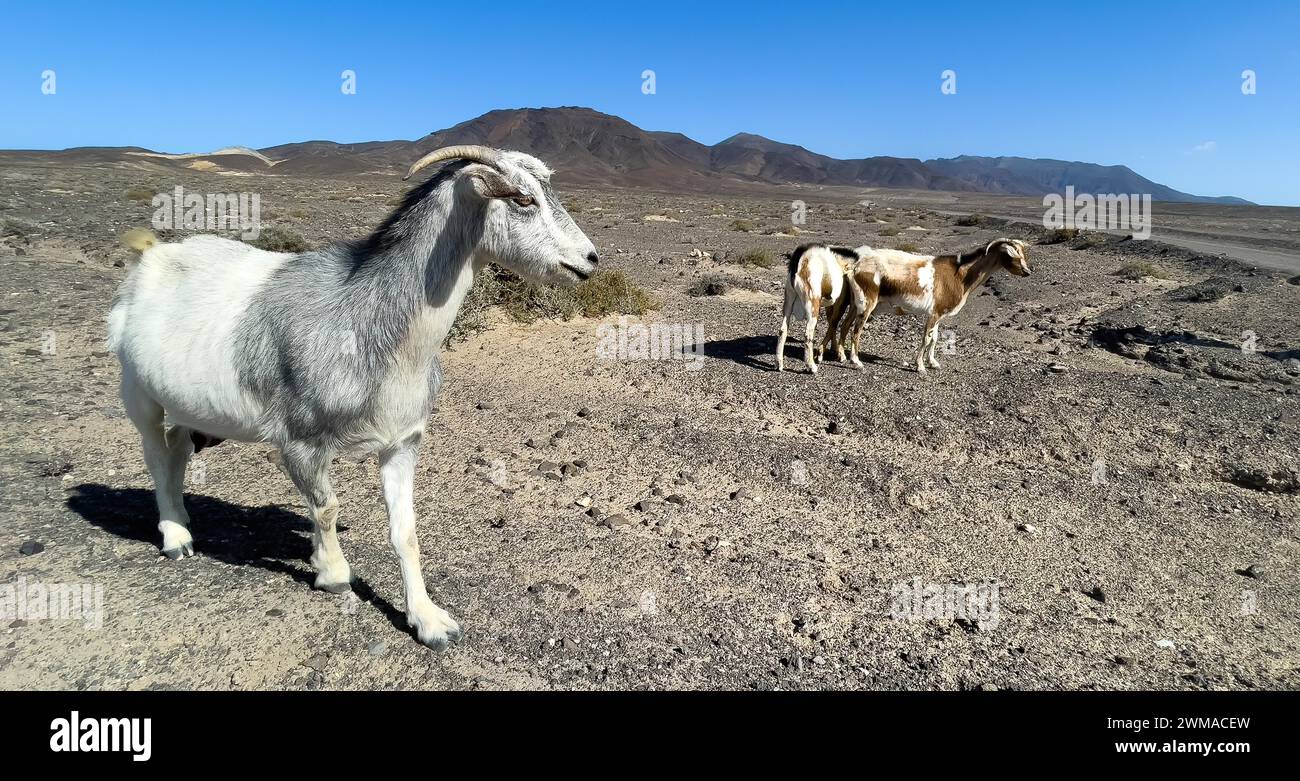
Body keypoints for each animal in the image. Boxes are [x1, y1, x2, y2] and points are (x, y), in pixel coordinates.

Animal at [107, 144, 603, 644]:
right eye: (522, 199)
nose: (589, 259)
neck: (365, 319)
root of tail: (153, 256)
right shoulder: (300, 443)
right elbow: (326, 508)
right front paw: (332, 573)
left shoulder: (402, 444)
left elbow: (405, 532)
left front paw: (428, 620)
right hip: (138, 394)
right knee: (156, 453)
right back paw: (176, 538)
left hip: (195, 409)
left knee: (177, 446)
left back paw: (184, 521)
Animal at [769, 245, 863, 376]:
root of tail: (800, 259)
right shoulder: (840, 304)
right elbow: (834, 323)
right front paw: (837, 355)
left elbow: (831, 324)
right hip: (813, 306)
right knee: (808, 334)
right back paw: (811, 366)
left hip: (788, 301)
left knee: (782, 330)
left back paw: (779, 364)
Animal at [826, 236, 1029, 374]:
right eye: (1013, 256)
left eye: (1023, 254)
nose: (1027, 271)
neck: (961, 275)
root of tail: (855, 266)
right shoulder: (934, 314)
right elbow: (926, 338)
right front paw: (920, 366)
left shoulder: (938, 314)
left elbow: (935, 338)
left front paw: (933, 363)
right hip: (867, 303)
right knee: (855, 330)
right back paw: (856, 361)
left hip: (855, 303)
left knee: (845, 325)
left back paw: (842, 357)